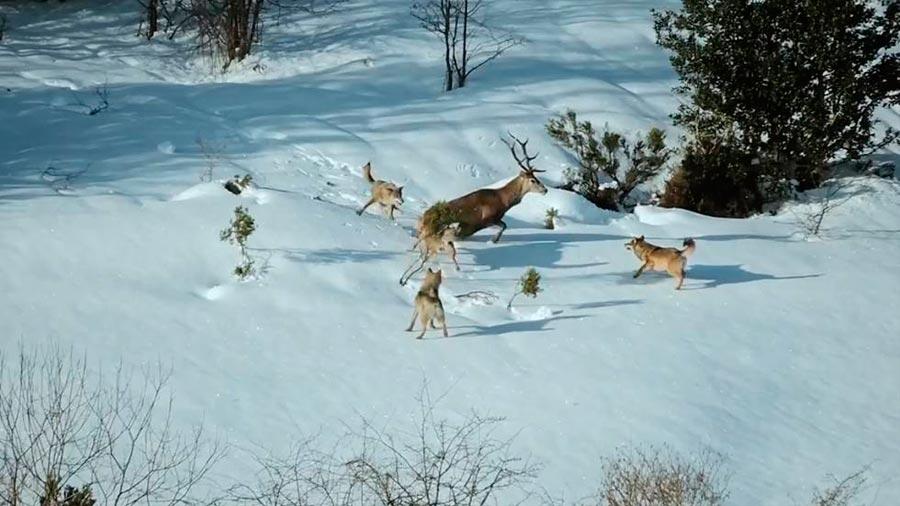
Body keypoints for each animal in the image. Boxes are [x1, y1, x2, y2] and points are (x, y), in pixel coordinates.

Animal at [416, 133, 548, 244]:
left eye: (536, 177)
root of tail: (422, 219)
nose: (545, 190)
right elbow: (504, 226)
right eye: (533, 180)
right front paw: (494, 240)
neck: (504, 201)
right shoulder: (485, 219)